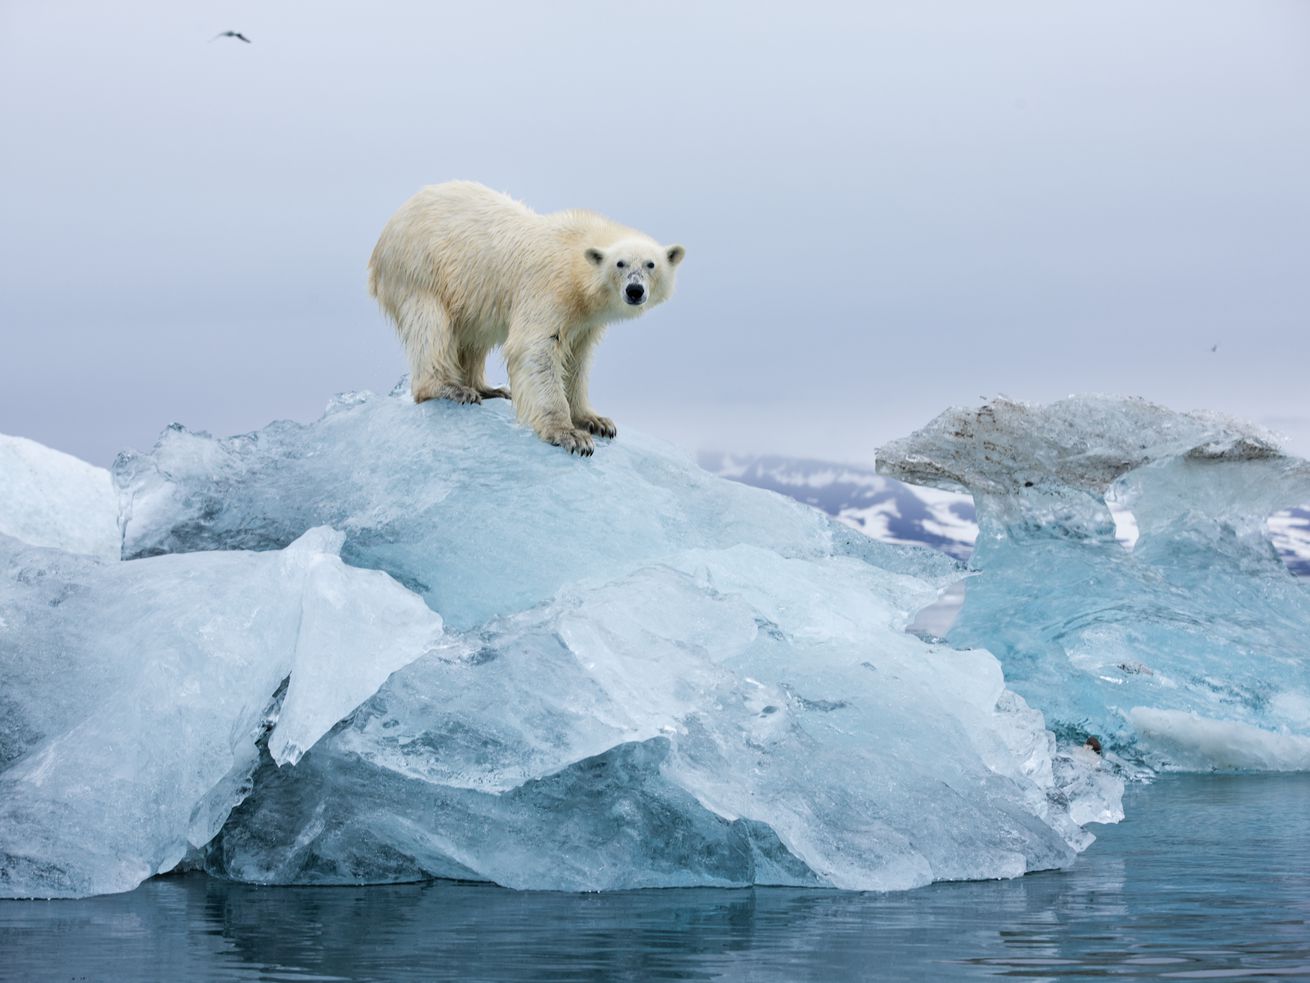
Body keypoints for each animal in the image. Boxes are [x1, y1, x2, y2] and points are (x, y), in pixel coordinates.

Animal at [364, 182, 681, 458]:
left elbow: (576, 360)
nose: (635, 290)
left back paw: (488, 388)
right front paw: (569, 435)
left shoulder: (585, 321)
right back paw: (450, 389)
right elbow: (536, 349)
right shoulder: (550, 288)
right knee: (431, 326)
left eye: (651, 264)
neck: (574, 259)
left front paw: (596, 421)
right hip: (420, 269)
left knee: (472, 337)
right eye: (620, 263)